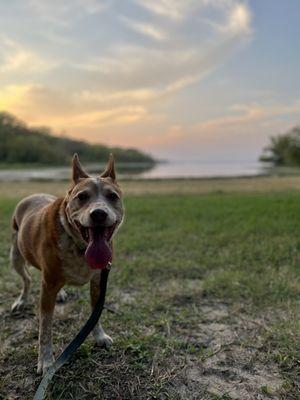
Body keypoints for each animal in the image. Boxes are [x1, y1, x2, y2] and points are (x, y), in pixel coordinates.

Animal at [9, 154, 124, 376]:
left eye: (112, 196)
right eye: (82, 197)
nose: (99, 213)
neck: (79, 245)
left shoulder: (98, 281)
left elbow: (95, 313)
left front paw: (99, 336)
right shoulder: (48, 286)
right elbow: (45, 327)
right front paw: (46, 361)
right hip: (16, 254)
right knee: (26, 279)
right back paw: (22, 299)